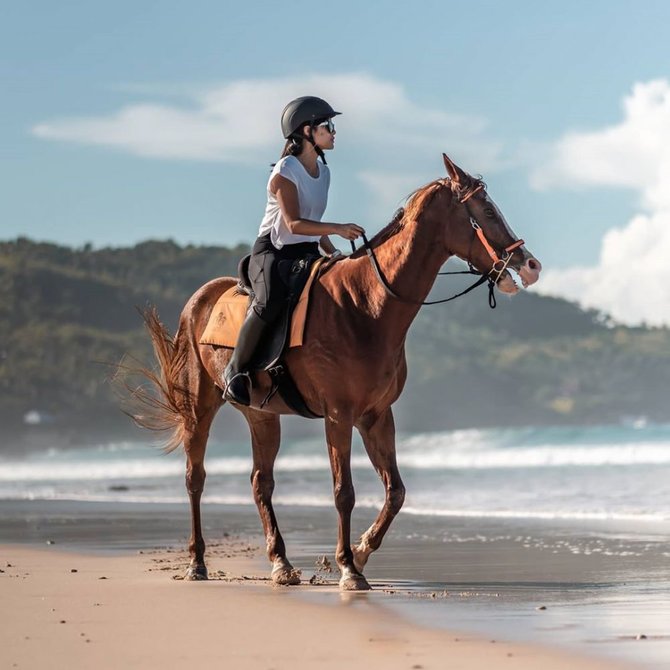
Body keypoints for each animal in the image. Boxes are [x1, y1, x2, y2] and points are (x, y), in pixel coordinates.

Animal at [129, 154, 544, 592]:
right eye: (486, 210)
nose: (531, 265)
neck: (365, 305)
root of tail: (201, 299)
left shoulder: (376, 416)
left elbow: (395, 491)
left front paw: (358, 553)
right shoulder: (339, 416)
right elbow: (344, 491)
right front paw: (348, 568)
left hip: (262, 415)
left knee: (261, 482)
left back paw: (281, 564)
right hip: (200, 408)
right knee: (195, 478)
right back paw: (197, 562)